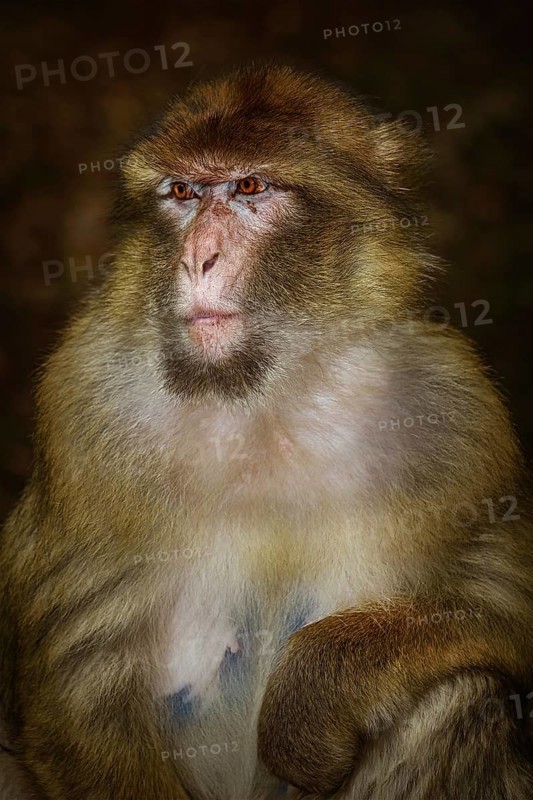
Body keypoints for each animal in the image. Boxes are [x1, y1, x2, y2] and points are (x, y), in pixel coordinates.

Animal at [1, 63, 533, 800]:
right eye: (182, 192)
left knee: (461, 694)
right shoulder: (85, 405)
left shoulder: (456, 409)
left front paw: (311, 701)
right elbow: (80, 696)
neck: (263, 399)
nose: (197, 258)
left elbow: (499, 597)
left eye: (250, 187)